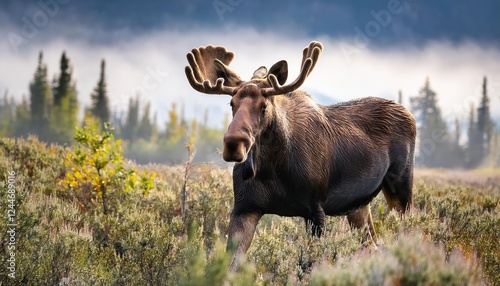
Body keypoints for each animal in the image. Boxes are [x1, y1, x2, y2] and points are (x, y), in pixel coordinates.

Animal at [186, 40, 416, 270]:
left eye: (264, 106)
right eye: (232, 103)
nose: (234, 143)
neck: (271, 168)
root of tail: (409, 114)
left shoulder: (315, 208)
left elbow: (311, 264)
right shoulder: (244, 207)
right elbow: (231, 264)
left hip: (400, 186)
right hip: (358, 206)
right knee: (372, 244)